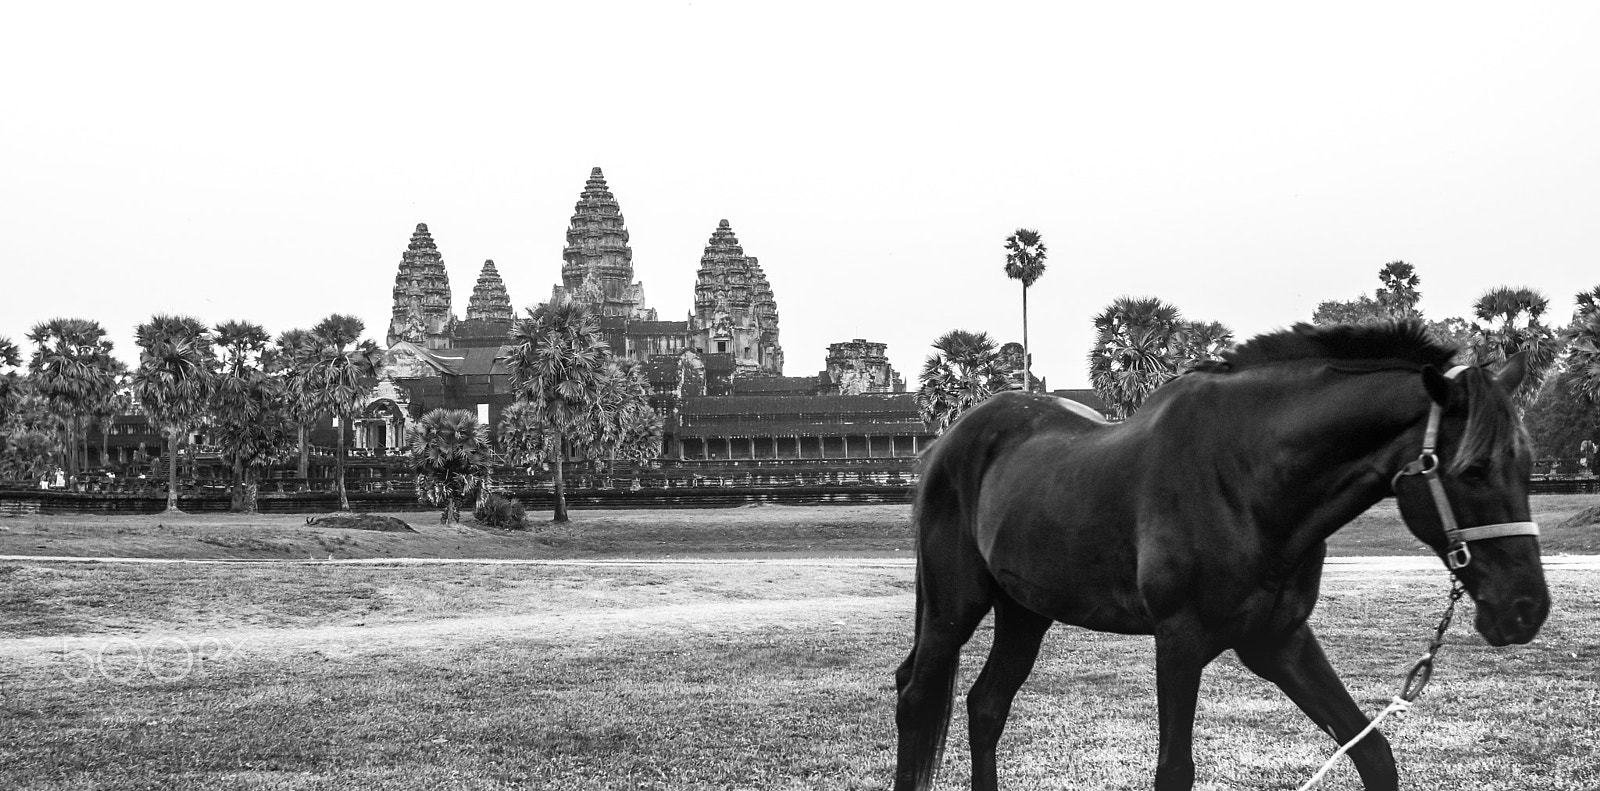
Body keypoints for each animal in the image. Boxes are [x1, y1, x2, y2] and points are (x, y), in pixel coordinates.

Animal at [896, 323, 1542, 791]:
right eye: (1473, 470)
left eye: (1528, 465)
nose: (1526, 609)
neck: (1247, 481)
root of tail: (948, 441)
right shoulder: (1180, 641)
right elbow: (1174, 772)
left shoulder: (1278, 642)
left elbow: (1374, 753)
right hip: (954, 609)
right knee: (915, 698)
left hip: (1025, 612)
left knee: (986, 707)